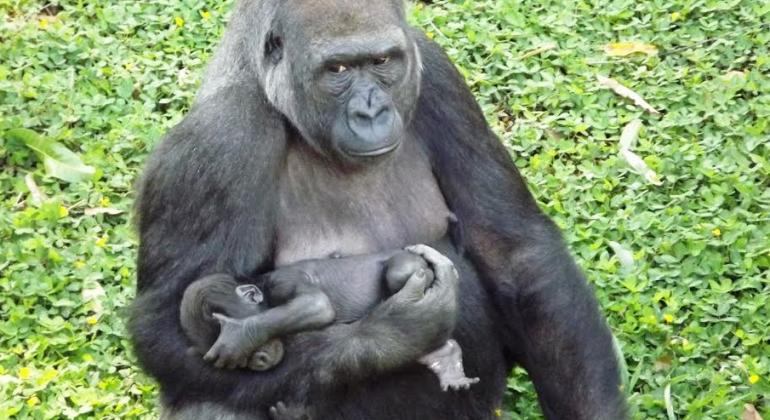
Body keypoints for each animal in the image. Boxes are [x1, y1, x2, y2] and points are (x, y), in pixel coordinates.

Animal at [195, 244, 476, 392]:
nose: (257, 361)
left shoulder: (282, 282)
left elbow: (317, 305)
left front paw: (238, 336)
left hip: (410, 262)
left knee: (398, 273)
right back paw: (445, 358)